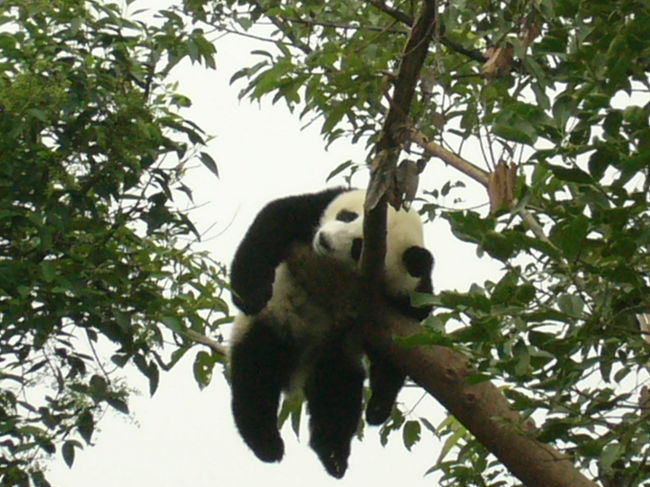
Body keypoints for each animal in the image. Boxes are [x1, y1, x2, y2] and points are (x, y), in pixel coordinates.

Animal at [228, 189, 430, 478]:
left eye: (358, 247)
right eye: (347, 216)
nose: (324, 240)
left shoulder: (404, 301)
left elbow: (399, 350)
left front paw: (378, 409)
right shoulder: (314, 211)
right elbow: (273, 221)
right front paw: (251, 295)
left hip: (334, 347)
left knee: (337, 393)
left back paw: (332, 456)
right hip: (275, 320)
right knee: (258, 372)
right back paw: (267, 444)